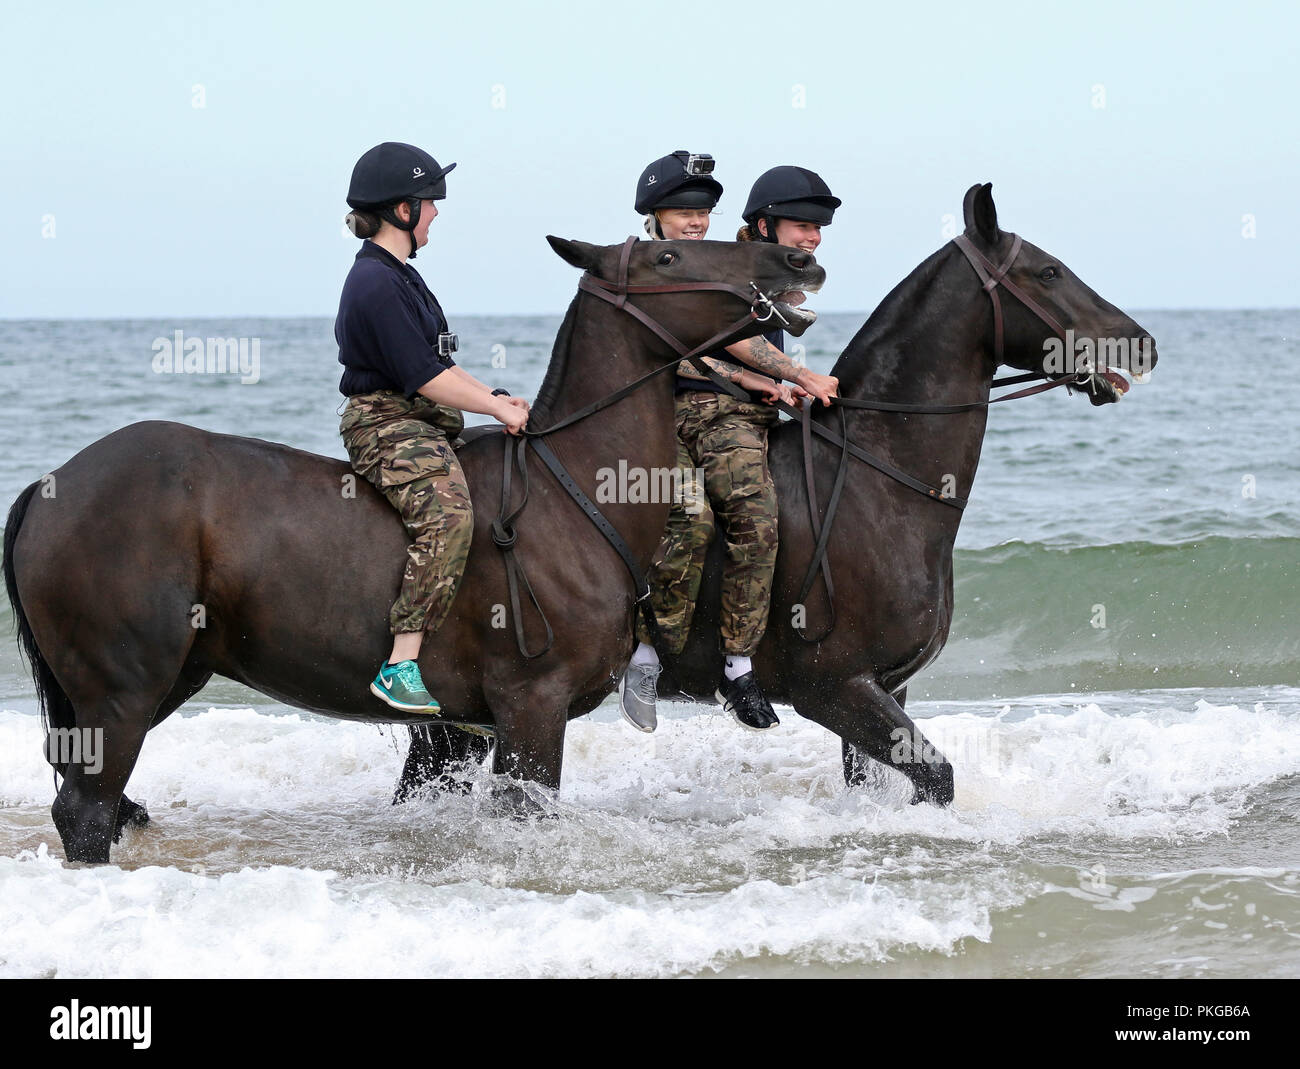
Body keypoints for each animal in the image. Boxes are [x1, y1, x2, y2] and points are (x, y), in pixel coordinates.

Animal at [2, 234, 821, 863]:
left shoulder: (467, 728)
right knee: (85, 811)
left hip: (162, 680)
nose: (795, 258)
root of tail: (50, 483)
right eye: (666, 253)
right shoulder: (532, 709)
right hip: (120, 692)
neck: (573, 490)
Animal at [395, 182, 1159, 801]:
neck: (881, 481)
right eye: (1049, 271)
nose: (1142, 345)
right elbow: (937, 778)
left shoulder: (884, 688)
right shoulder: (837, 687)